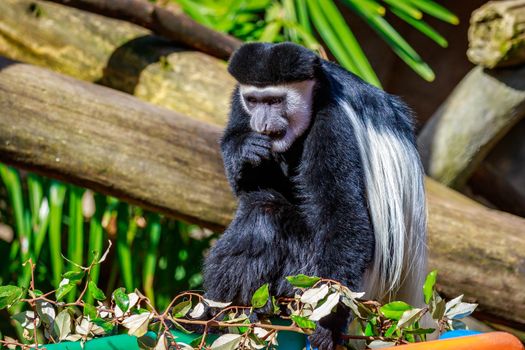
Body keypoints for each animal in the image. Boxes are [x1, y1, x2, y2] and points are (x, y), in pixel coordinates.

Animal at [203, 42, 428, 348]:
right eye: (254, 100)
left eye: (275, 101)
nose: (262, 122)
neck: (317, 90)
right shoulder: (238, 104)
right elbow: (251, 181)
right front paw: (244, 147)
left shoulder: (332, 124)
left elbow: (343, 216)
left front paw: (328, 324)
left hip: (307, 272)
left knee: (265, 212)